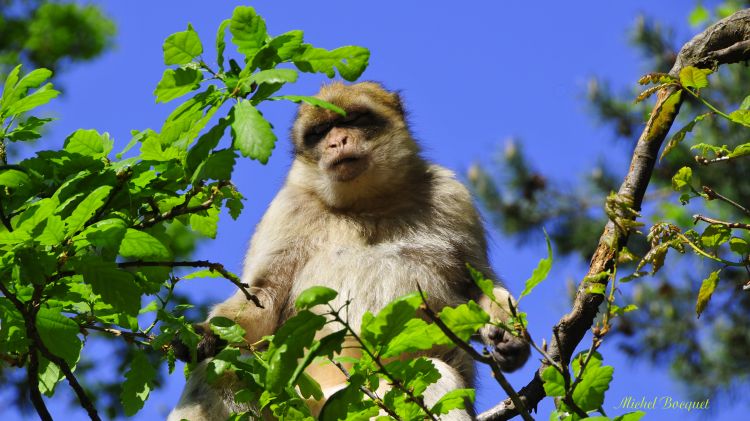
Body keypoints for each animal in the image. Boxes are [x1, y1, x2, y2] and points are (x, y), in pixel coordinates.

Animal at [171, 82, 532, 420]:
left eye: (352, 120)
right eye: (320, 132)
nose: (337, 141)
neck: (366, 205)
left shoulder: (452, 197)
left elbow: (475, 286)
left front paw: (509, 336)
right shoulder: (288, 210)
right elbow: (264, 300)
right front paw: (205, 333)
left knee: (434, 376)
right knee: (219, 370)